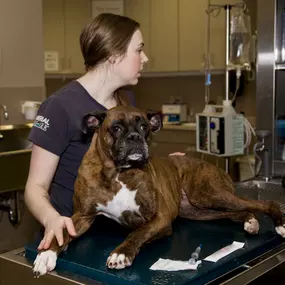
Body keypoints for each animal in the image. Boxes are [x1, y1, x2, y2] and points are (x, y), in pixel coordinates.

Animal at [32, 105, 284, 276]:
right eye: (116, 128)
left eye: (144, 126)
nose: (135, 137)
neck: (118, 174)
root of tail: (214, 167)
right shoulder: (83, 216)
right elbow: (64, 232)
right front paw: (46, 254)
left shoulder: (159, 217)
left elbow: (137, 233)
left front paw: (121, 253)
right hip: (200, 209)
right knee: (235, 211)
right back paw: (250, 221)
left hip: (207, 194)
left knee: (262, 203)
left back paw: (277, 223)